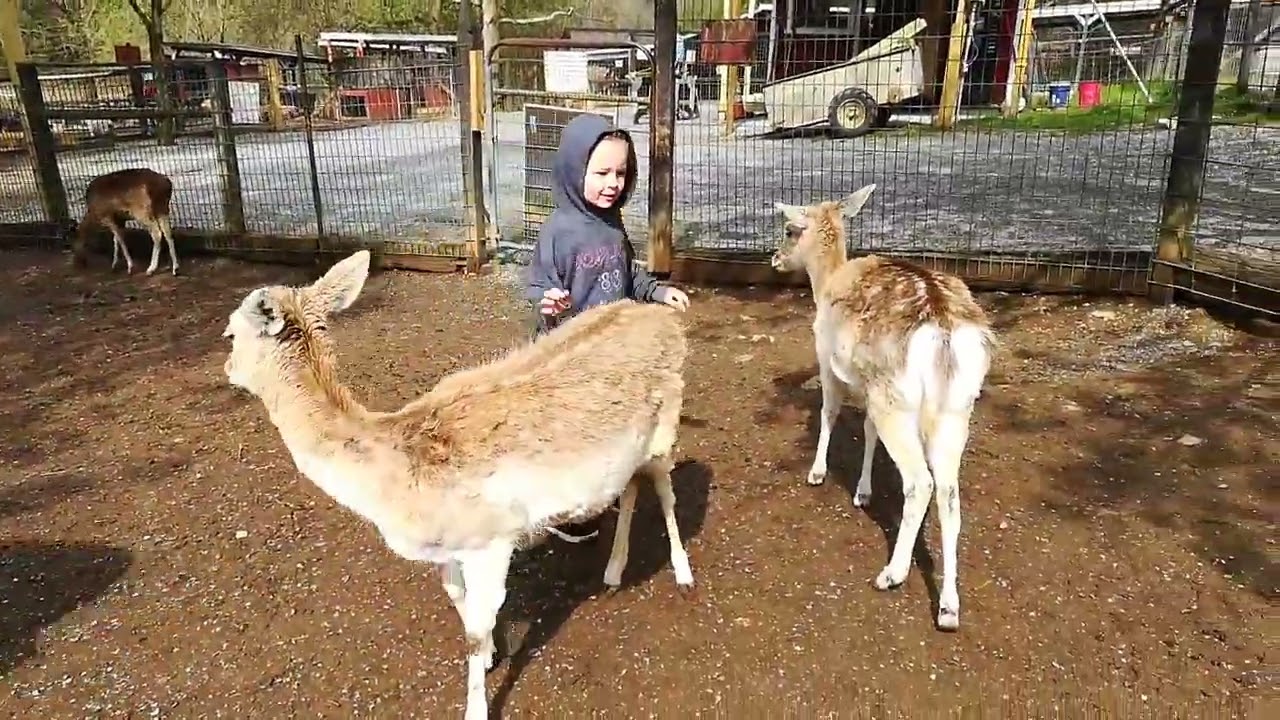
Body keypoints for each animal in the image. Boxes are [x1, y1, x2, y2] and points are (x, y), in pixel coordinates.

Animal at [220, 250, 694, 720]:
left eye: (229, 333)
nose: (226, 369)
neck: (392, 479)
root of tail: (665, 317)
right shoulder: (447, 552)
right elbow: (461, 609)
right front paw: (489, 659)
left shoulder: (493, 539)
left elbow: (475, 628)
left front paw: (477, 706)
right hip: (629, 452)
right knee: (631, 485)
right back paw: (614, 570)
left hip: (666, 424)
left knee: (666, 490)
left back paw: (683, 573)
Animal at [770, 184, 995, 632]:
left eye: (789, 229)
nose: (774, 258)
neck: (825, 283)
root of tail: (943, 330)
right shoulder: (869, 388)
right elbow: (868, 431)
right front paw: (863, 491)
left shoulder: (827, 360)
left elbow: (829, 414)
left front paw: (817, 473)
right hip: (955, 407)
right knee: (949, 492)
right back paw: (948, 608)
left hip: (898, 398)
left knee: (921, 482)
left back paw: (892, 573)